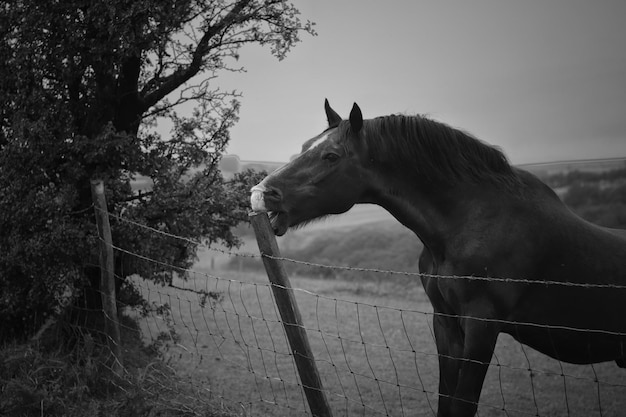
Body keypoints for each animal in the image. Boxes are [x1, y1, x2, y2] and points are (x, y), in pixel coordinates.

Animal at [247, 99, 624, 414]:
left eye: (331, 156)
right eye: (304, 147)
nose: (263, 193)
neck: (471, 222)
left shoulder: (482, 329)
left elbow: (462, 405)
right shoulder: (445, 324)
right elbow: (447, 402)